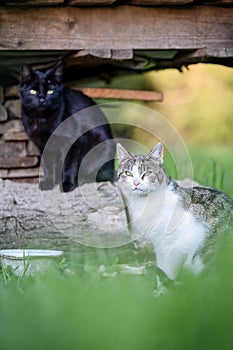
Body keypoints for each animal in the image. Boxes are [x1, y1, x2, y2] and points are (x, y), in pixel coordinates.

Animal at [19, 60, 116, 191]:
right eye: (33, 91)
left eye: (50, 91)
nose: (42, 99)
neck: (41, 119)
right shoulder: (43, 145)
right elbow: (47, 165)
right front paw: (48, 183)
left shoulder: (75, 141)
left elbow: (69, 165)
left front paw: (67, 185)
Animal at [117, 144, 233, 284]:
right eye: (128, 173)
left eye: (147, 173)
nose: (136, 183)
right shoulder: (160, 245)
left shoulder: (172, 244)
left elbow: (165, 271)